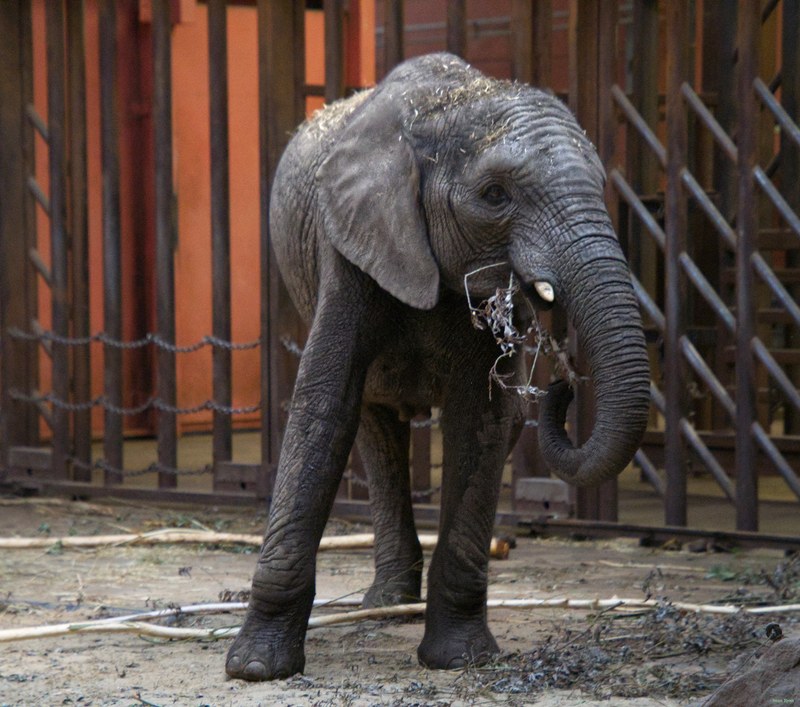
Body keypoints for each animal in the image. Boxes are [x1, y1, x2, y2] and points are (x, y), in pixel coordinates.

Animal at [225, 52, 650, 681]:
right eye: (495, 194)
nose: (564, 388)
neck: (446, 107)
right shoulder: (349, 242)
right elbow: (322, 409)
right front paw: (257, 668)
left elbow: (482, 424)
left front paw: (461, 659)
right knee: (374, 428)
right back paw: (387, 604)